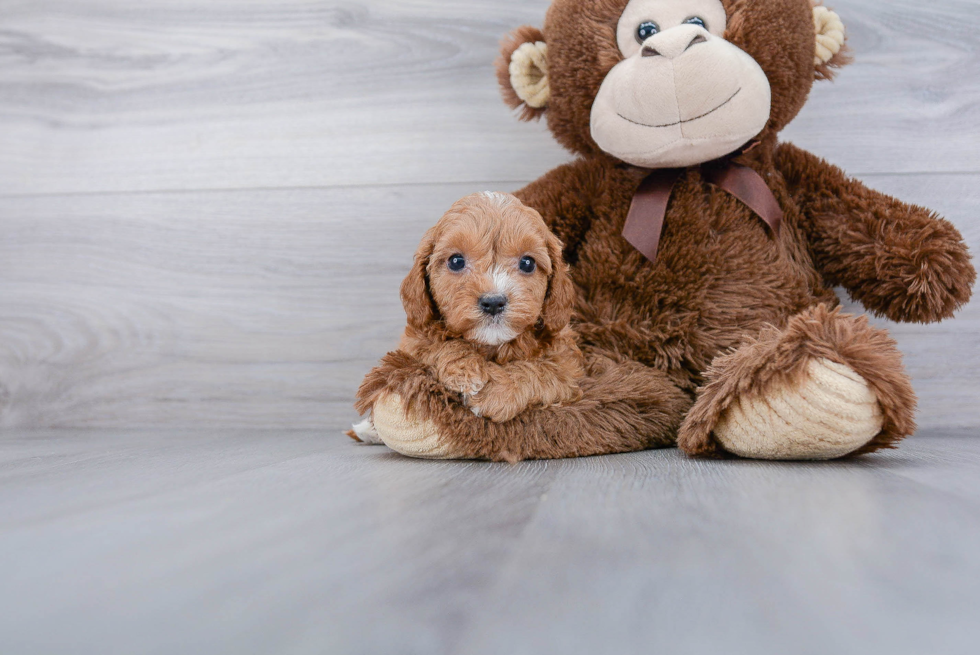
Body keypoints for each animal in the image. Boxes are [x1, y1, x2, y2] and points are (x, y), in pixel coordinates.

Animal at [352, 192, 580, 444]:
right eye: (456, 261)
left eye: (527, 263)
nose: (493, 302)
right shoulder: (414, 341)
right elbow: (435, 344)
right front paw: (464, 368)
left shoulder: (568, 367)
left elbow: (542, 371)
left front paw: (495, 394)